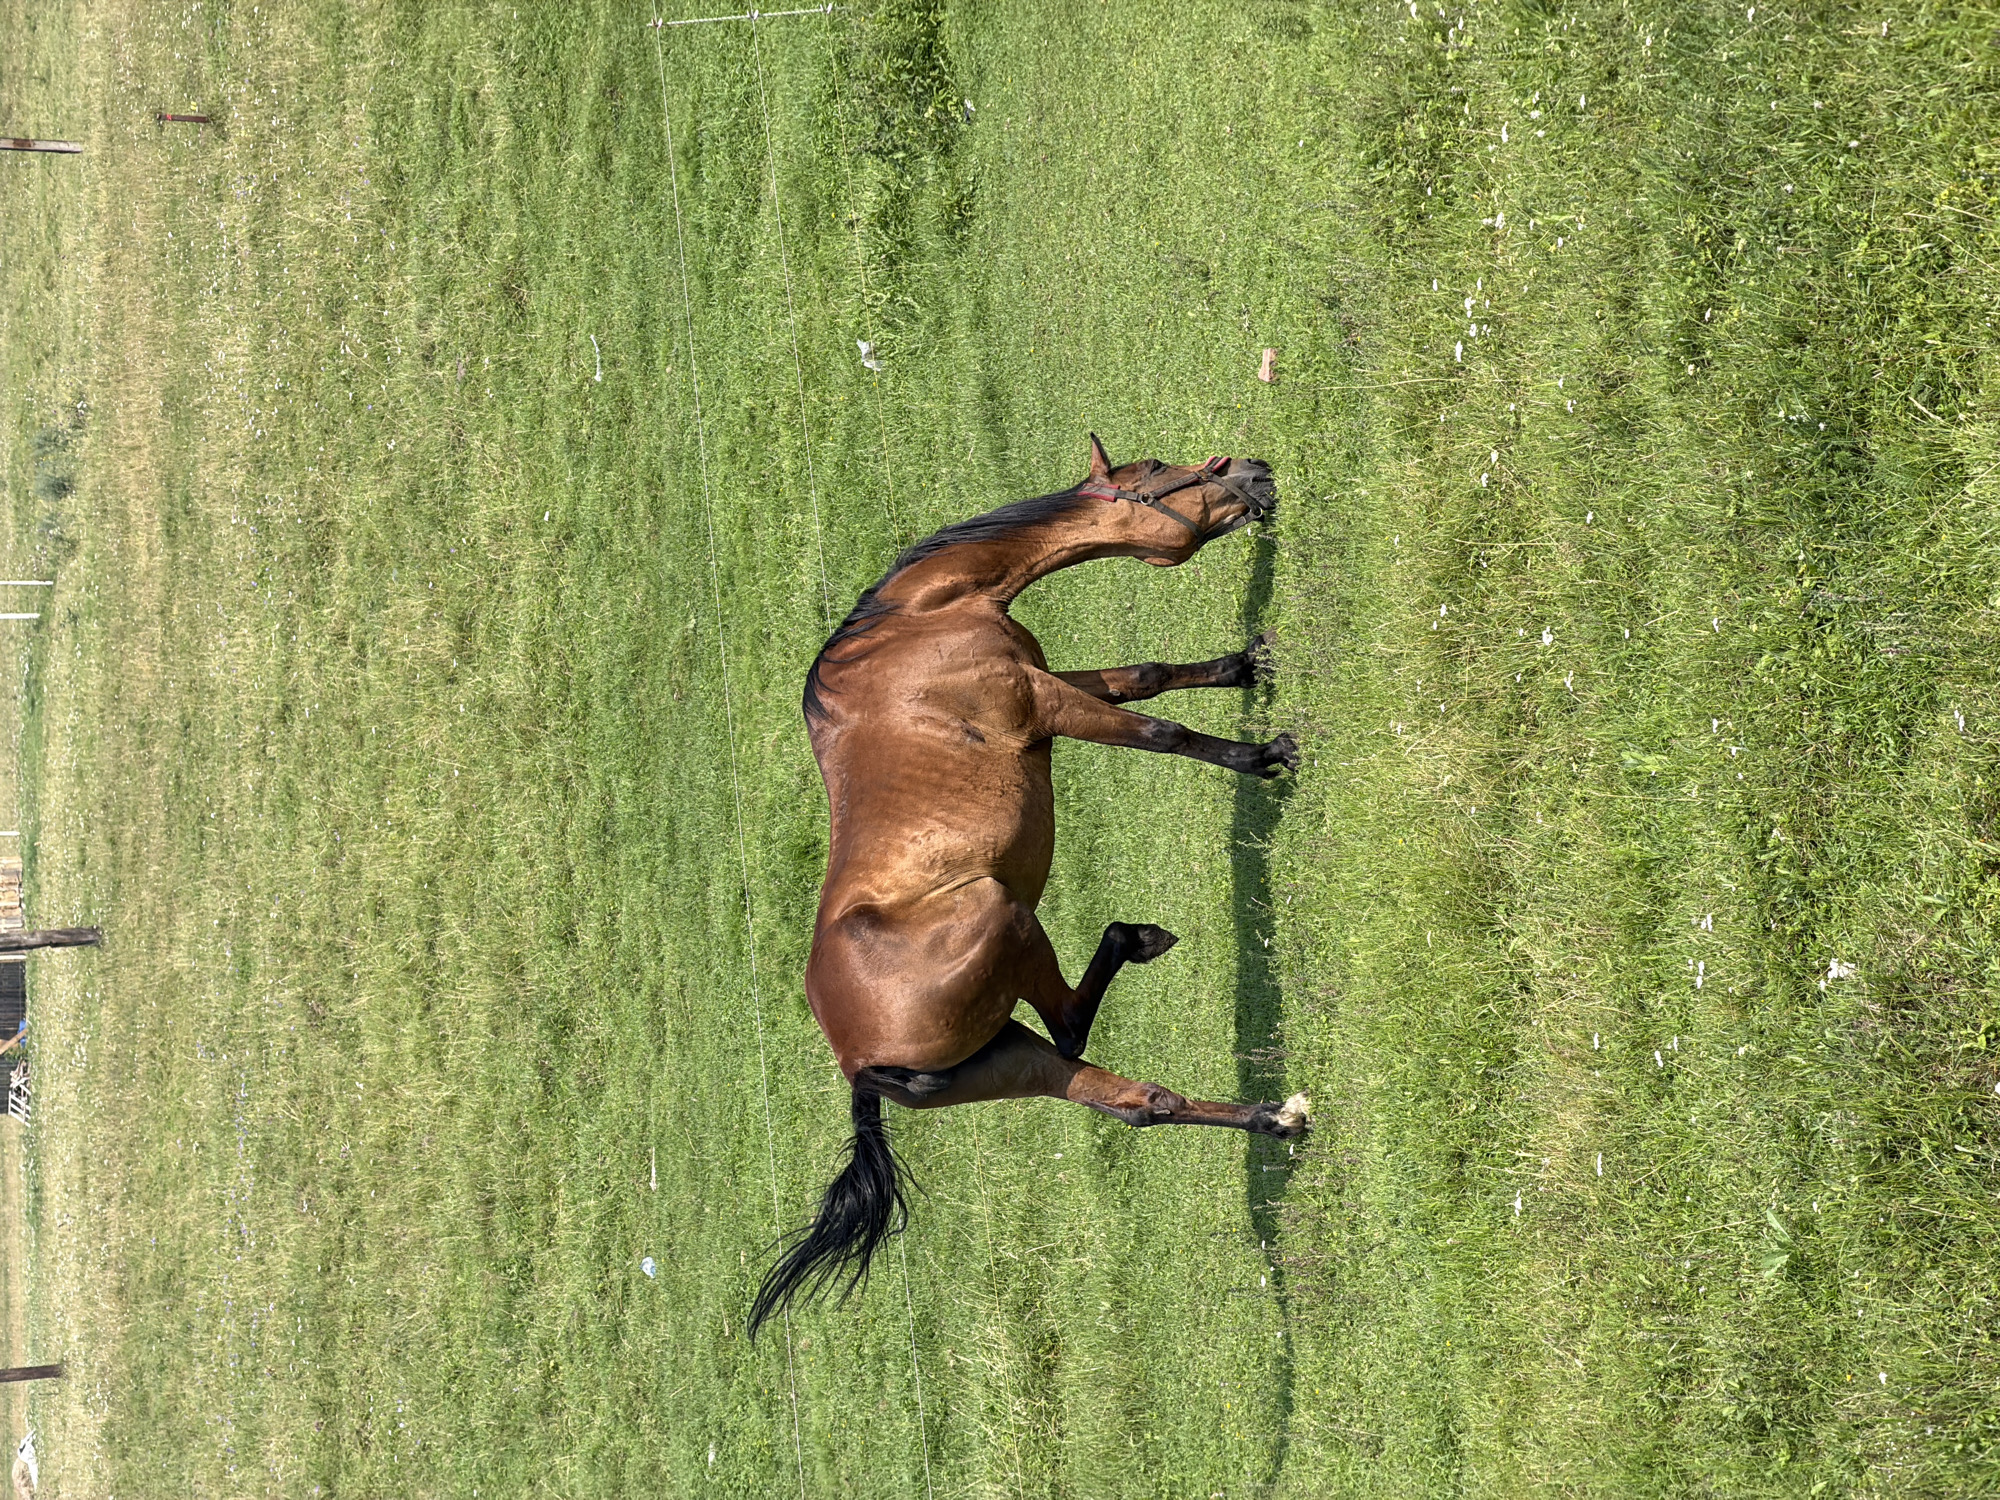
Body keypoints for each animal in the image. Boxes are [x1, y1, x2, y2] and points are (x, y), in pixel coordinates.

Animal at [748, 434, 1310, 1336]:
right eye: (1158, 471)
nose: (1256, 472)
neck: (922, 624)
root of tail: (859, 1062)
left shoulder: (1059, 680)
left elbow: (1145, 673)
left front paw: (1245, 663)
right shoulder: (1045, 702)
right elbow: (1161, 727)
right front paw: (1264, 752)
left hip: (1015, 1061)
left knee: (1134, 1098)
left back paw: (1272, 1113)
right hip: (1003, 918)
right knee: (1075, 1023)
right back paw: (1140, 941)